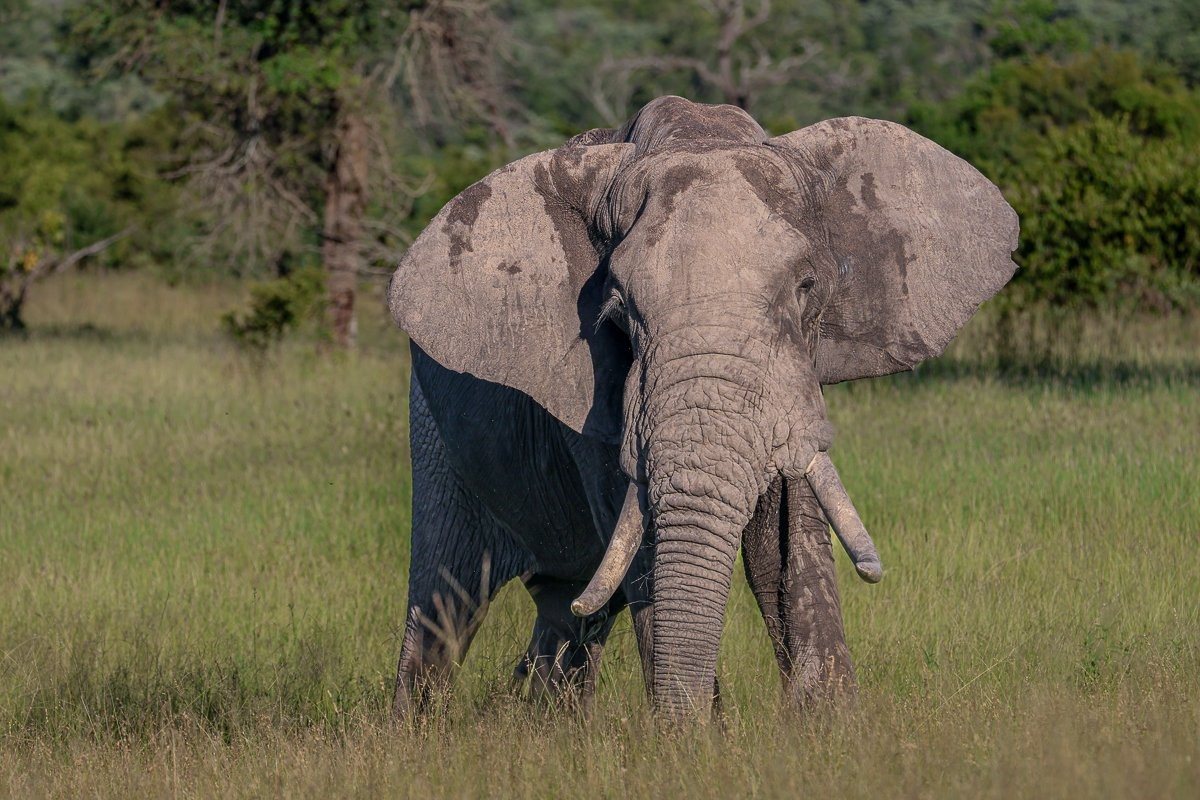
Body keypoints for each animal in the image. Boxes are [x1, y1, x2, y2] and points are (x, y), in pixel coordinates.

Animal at [387, 95, 1018, 720]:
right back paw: (416, 731)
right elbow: (645, 546)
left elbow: (788, 536)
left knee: (564, 610)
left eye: (806, 286)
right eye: (619, 310)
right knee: (443, 600)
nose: (691, 726)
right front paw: (698, 736)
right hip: (430, 428)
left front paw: (829, 725)